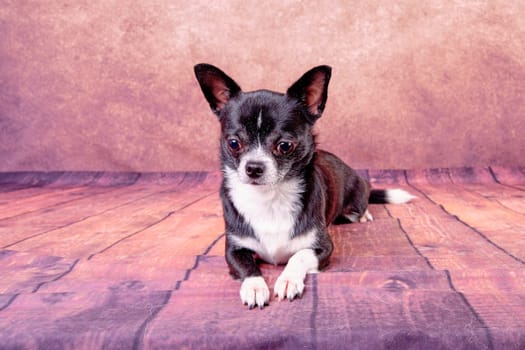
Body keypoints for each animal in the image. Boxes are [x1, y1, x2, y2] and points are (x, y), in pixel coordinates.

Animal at [192, 63, 414, 308]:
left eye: (284, 146)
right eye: (233, 143)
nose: (254, 167)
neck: (269, 198)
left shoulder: (323, 248)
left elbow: (299, 255)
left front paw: (288, 280)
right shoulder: (234, 249)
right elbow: (247, 266)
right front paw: (254, 286)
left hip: (355, 194)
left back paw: (363, 214)